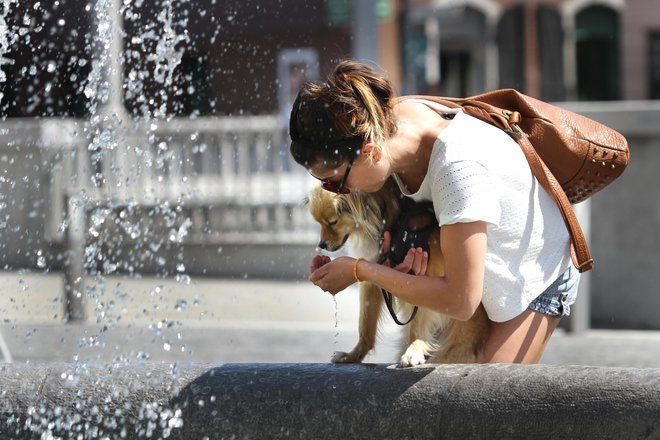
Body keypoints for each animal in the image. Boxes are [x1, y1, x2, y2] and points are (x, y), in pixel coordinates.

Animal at [306, 179, 488, 368]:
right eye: (318, 223)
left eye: (333, 222)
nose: (321, 244)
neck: (393, 222)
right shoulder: (372, 277)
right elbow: (365, 327)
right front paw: (352, 356)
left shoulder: (426, 280)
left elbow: (416, 327)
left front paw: (414, 351)